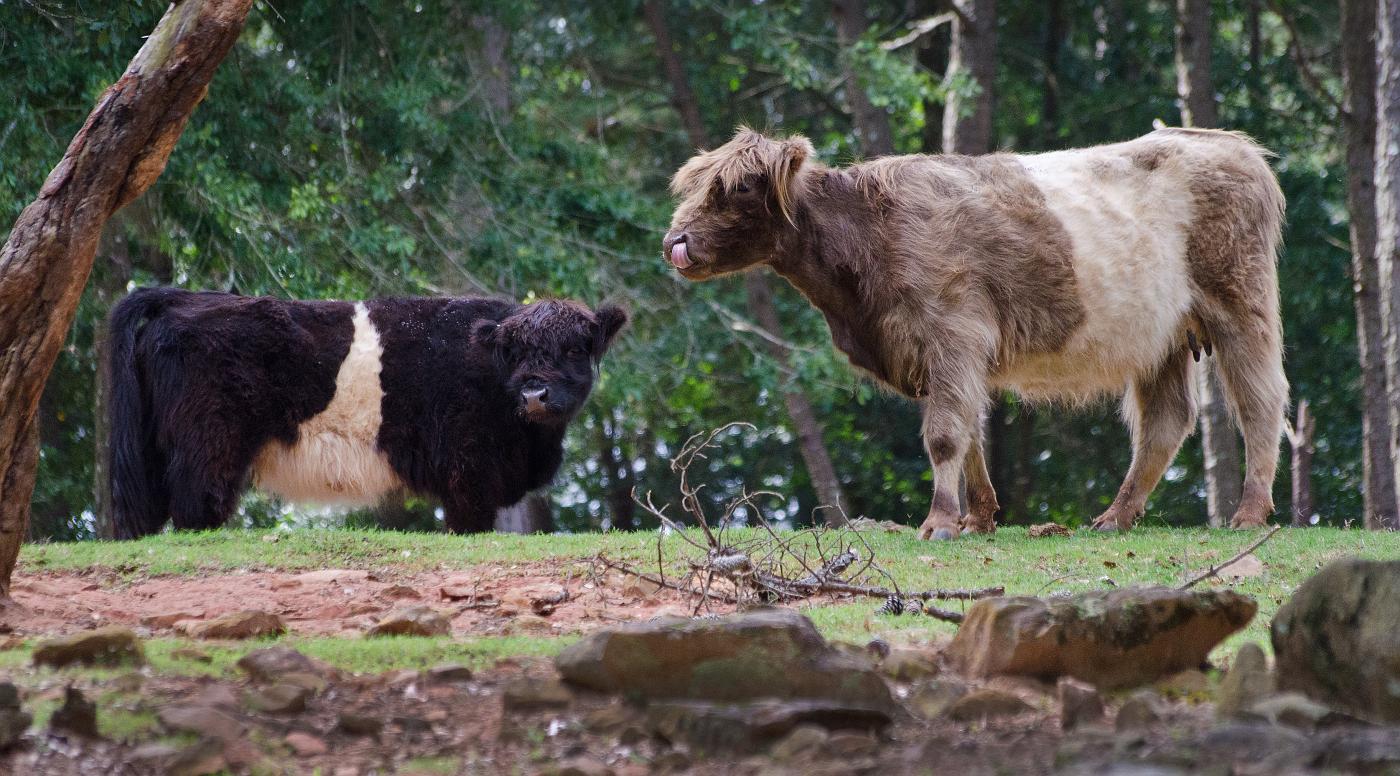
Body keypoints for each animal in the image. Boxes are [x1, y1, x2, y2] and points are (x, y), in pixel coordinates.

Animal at [107, 287, 626, 538]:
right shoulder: (469, 471)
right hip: (208, 443)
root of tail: (184, 298)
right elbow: (470, 522)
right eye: (514, 352)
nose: (535, 394)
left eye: (574, 349)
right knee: (196, 504)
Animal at [662, 127, 1287, 540]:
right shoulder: (938, 352)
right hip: (1161, 338)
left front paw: (939, 521)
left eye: (740, 188)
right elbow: (969, 432)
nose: (675, 243)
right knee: (1165, 421)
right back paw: (1116, 516)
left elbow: (945, 433)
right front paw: (979, 517)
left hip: (1240, 304)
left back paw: (1249, 513)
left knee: (1259, 401)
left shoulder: (952, 332)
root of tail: (1232, 144)